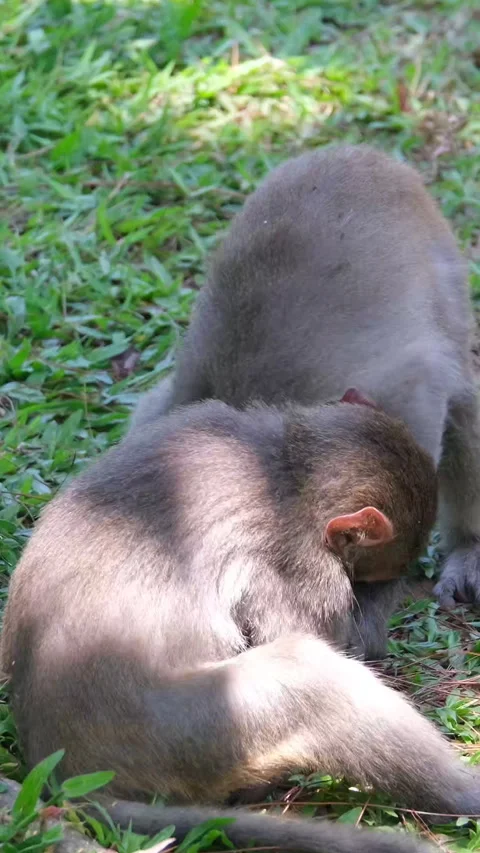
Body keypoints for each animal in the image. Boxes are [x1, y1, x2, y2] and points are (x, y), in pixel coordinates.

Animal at [3, 394, 480, 853]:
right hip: (187, 733)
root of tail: (62, 770)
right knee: (309, 673)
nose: (374, 581)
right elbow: (318, 634)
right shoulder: (294, 562)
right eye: (377, 568)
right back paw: (463, 796)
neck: (283, 471)